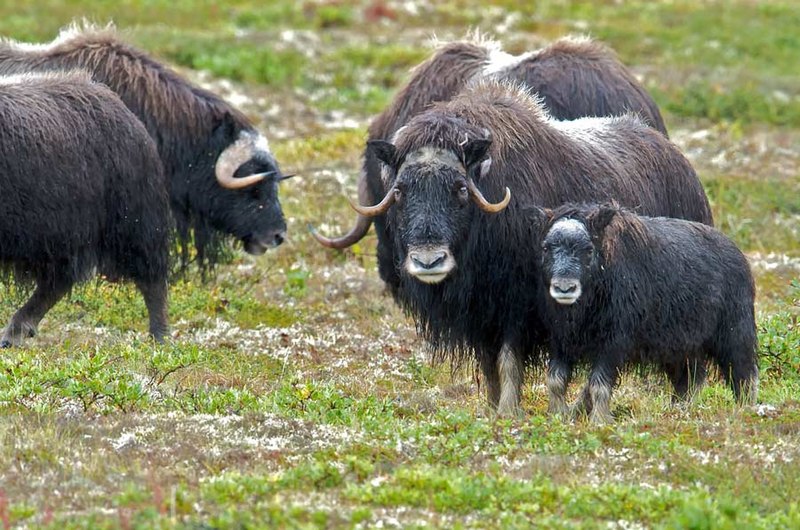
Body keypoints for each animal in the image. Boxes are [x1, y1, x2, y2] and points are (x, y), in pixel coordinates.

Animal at [536, 202, 760, 420]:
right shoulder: (561, 341)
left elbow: (598, 385)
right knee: (691, 377)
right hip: (682, 346)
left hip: (734, 333)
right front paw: (557, 417)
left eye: (589, 249)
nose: (564, 288)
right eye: (546, 248)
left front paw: (599, 421)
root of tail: (738, 254)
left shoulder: (613, 343)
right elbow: (555, 380)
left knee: (744, 373)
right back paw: (678, 410)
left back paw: (745, 410)